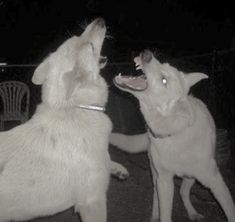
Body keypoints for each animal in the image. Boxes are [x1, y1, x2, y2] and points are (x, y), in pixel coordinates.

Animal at [0, 17, 129, 222]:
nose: (99, 20)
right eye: (91, 46)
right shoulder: (93, 202)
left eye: (77, 36)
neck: (75, 107)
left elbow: (109, 160)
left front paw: (117, 169)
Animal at [111, 49, 235, 222]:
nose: (146, 54)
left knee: (183, 191)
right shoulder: (165, 181)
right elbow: (164, 213)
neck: (174, 133)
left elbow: (230, 210)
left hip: (191, 177)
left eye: (164, 80)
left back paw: (192, 213)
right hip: (156, 174)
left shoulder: (215, 181)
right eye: (163, 64)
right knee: (157, 195)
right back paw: (155, 216)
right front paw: (159, 215)